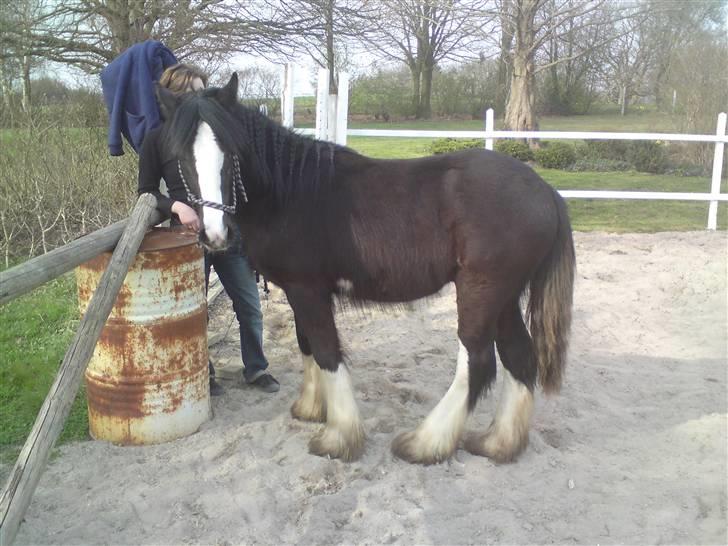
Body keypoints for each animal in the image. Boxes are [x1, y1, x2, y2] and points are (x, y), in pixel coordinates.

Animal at [158, 73, 576, 464]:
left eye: (230, 151)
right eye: (179, 155)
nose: (215, 234)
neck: (290, 192)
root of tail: (546, 192)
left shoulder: (308, 290)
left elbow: (327, 352)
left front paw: (339, 437)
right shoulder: (298, 291)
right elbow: (306, 344)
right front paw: (312, 409)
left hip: (481, 292)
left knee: (478, 363)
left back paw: (425, 443)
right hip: (503, 299)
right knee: (519, 357)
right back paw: (498, 443)